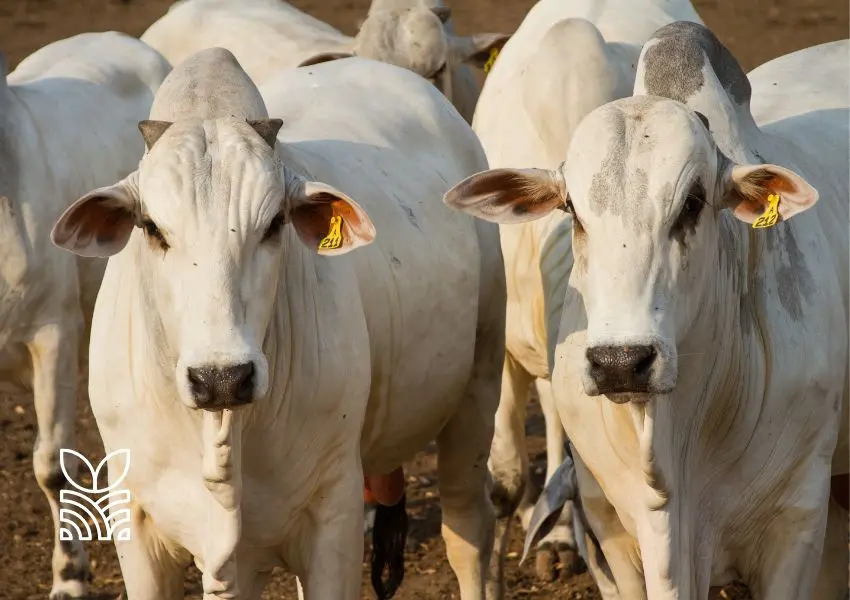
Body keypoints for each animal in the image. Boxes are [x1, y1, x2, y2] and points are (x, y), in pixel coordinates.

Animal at [51, 48, 504, 600]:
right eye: (153, 228)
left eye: (273, 224)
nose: (222, 378)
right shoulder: (137, 524)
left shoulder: (334, 514)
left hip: (478, 388)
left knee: (468, 531)